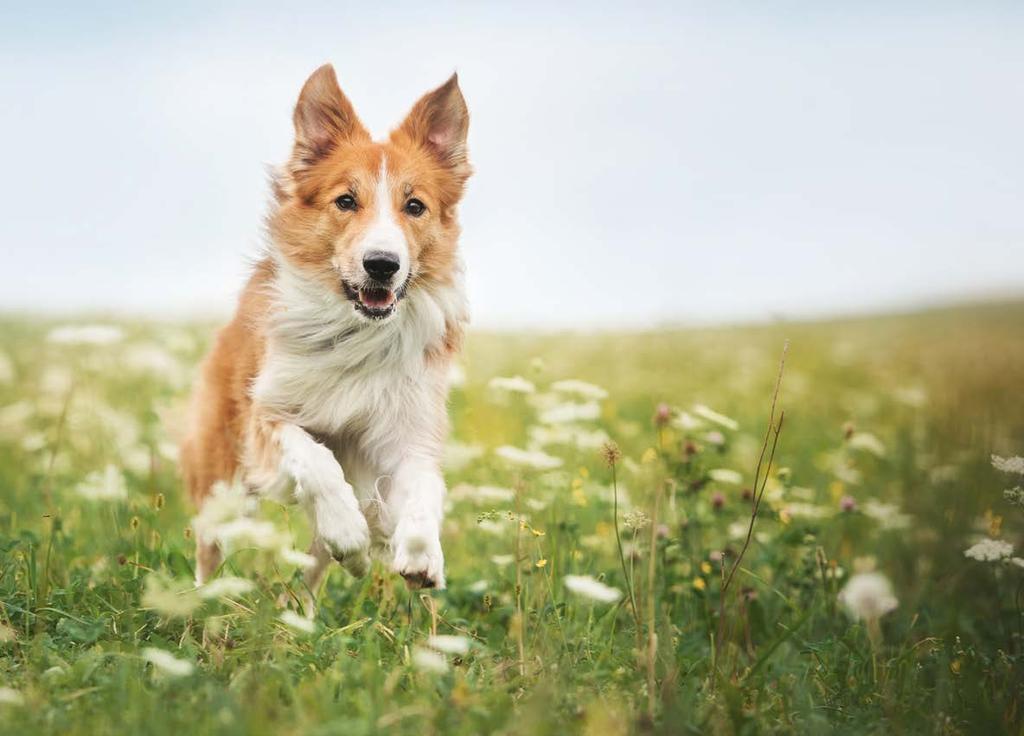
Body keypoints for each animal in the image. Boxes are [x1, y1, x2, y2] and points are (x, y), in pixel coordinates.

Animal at [180, 63, 471, 605]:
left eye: (415, 206)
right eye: (346, 200)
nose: (382, 264)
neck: (356, 332)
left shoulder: (405, 431)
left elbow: (425, 486)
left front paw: (422, 554)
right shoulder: (266, 416)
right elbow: (316, 459)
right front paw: (348, 528)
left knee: (313, 571)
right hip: (222, 475)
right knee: (210, 549)